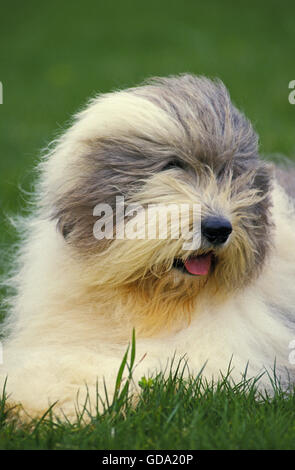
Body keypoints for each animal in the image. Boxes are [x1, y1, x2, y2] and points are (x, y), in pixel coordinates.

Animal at [0, 75, 295, 420]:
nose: (219, 229)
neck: (150, 298)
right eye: (172, 166)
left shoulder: (216, 356)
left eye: (232, 173)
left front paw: (59, 399)